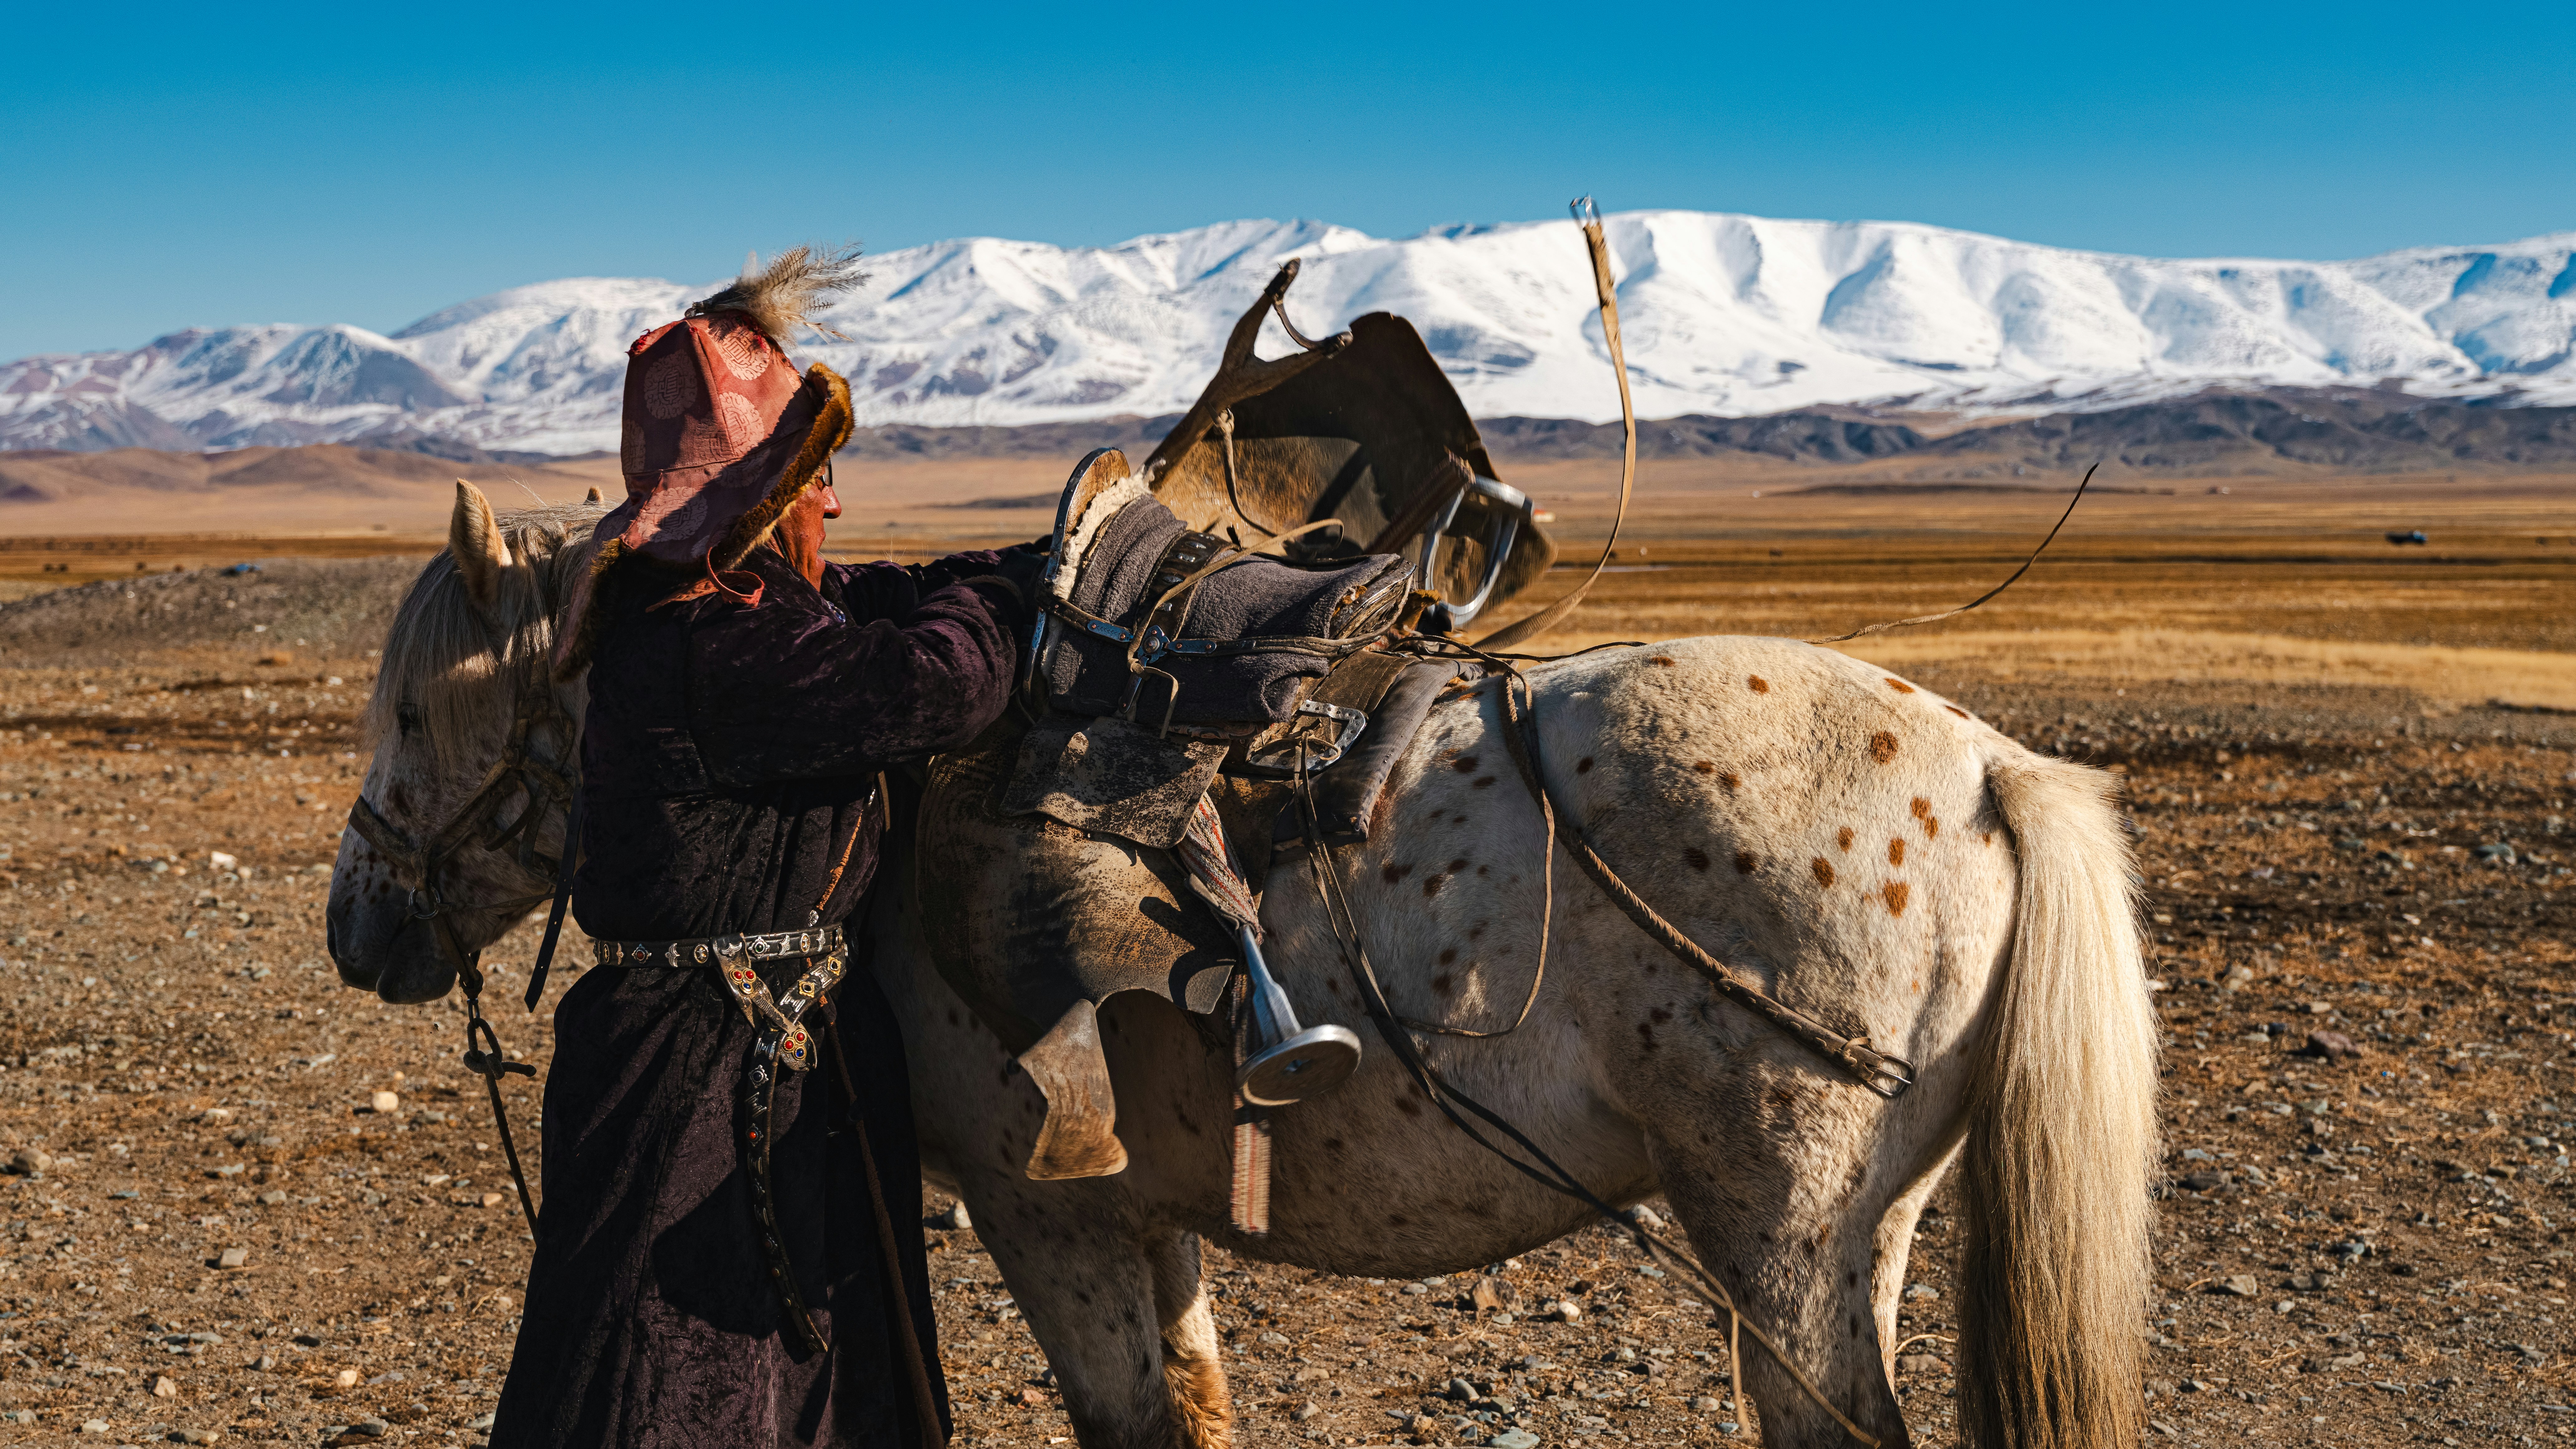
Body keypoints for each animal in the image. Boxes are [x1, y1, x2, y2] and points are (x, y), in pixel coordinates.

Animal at [327, 480, 2157, 1449]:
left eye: (414, 704)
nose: (358, 921)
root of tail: (1988, 763)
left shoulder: (1047, 1208)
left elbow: (1130, 1419)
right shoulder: (1152, 1206)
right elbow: (1196, 1406)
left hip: (1782, 1240)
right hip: (1852, 1235)